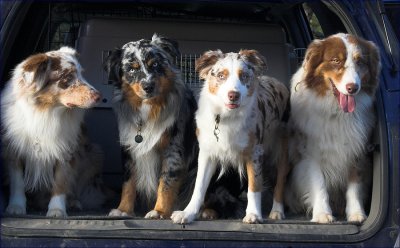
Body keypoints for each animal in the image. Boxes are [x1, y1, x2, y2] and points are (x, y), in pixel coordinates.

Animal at [1, 32, 380, 224]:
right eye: (132, 68)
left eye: (155, 64)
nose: (148, 85)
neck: (148, 111)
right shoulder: (133, 151)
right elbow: (130, 184)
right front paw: (125, 210)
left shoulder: (176, 153)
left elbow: (166, 185)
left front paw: (159, 210)